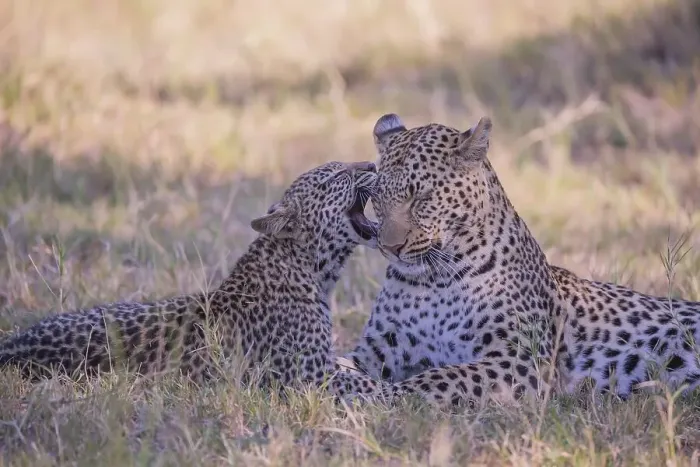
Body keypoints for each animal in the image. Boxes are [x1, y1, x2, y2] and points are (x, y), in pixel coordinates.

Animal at [0, 160, 385, 400]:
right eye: (336, 177)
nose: (372, 165)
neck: (313, 270)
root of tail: (15, 343)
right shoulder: (311, 377)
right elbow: (374, 386)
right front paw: (403, 397)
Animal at [344, 113, 700, 409]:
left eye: (422, 198)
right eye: (377, 198)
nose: (390, 247)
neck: (432, 280)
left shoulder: (521, 358)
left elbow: (439, 378)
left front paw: (379, 396)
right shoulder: (378, 347)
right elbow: (339, 362)